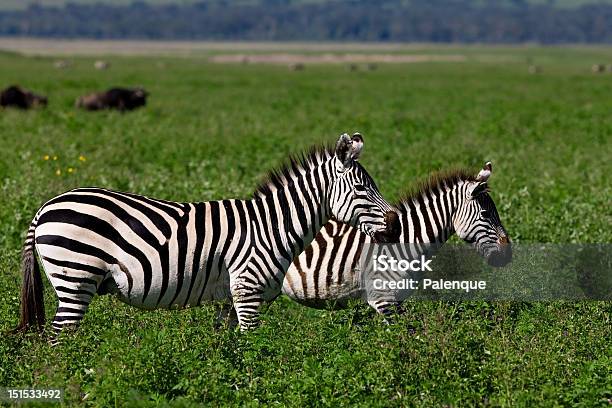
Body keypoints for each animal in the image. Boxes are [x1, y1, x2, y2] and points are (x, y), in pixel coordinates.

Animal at [13, 132, 402, 340]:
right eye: (362, 189)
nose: (396, 227)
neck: (272, 226)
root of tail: (44, 207)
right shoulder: (247, 292)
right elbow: (254, 350)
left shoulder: (226, 300)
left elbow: (225, 354)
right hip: (75, 278)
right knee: (59, 343)